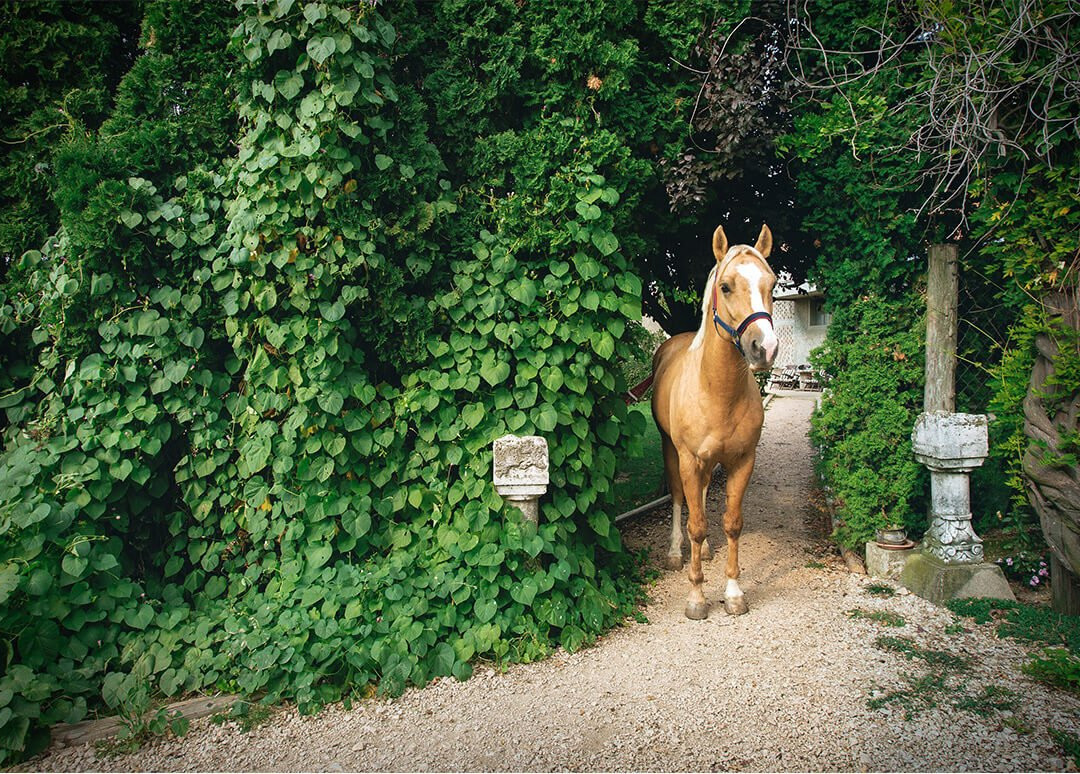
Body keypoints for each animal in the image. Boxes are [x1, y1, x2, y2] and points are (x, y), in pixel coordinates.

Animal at [648, 222, 777, 617]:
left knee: (701, 497)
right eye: (726, 286)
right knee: (680, 499)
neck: (718, 393)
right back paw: (676, 552)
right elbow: (695, 522)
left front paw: (733, 593)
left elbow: (731, 524)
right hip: (671, 451)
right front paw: (696, 597)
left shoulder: (742, 461)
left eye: (772, 284)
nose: (765, 348)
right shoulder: (688, 459)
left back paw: (703, 552)